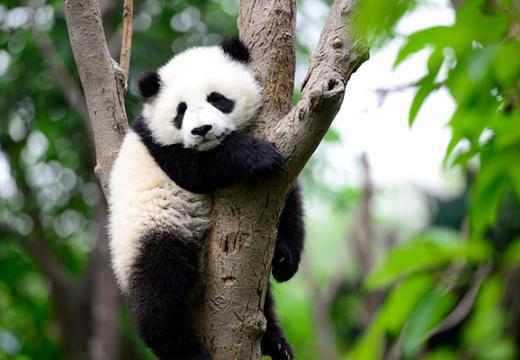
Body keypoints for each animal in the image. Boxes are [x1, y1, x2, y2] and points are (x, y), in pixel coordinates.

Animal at [109, 37, 304, 360]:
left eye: (216, 98)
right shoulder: (162, 149)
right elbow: (199, 168)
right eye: (181, 110)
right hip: (151, 231)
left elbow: (288, 200)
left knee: (261, 301)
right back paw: (189, 350)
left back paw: (276, 343)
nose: (201, 130)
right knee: (159, 293)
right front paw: (257, 155)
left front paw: (284, 258)